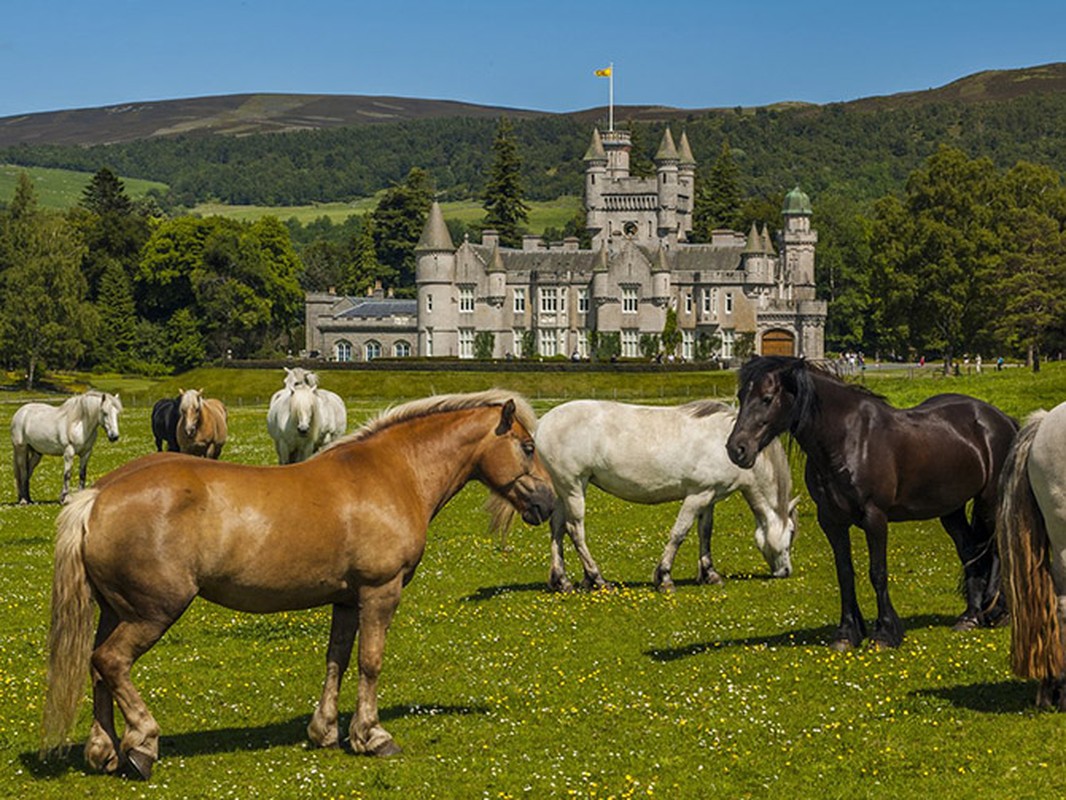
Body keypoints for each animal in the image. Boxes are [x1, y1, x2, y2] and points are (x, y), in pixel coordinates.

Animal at [39, 392, 558, 780]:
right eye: (528, 447)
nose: (549, 502)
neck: (393, 472)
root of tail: (97, 495)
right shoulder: (380, 591)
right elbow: (370, 662)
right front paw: (372, 735)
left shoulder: (347, 600)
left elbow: (337, 659)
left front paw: (325, 730)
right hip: (153, 612)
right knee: (111, 661)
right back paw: (142, 744)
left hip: (115, 610)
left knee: (97, 668)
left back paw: (104, 750)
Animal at [537, 401, 797, 597]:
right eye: (792, 533)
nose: (786, 571)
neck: (728, 443)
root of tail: (542, 423)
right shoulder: (697, 495)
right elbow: (679, 534)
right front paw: (664, 578)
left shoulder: (709, 497)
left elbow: (705, 533)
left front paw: (710, 574)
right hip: (574, 487)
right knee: (575, 530)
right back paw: (598, 578)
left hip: (563, 490)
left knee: (557, 528)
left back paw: (562, 581)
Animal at [724, 356, 1014, 652]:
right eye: (742, 396)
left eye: (767, 398)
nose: (737, 449)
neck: (848, 438)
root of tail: (1000, 419)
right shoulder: (831, 521)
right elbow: (844, 573)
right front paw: (846, 633)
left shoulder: (875, 518)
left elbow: (878, 572)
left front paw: (884, 633)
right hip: (951, 510)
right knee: (970, 551)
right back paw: (970, 617)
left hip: (989, 503)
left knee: (997, 550)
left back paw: (997, 612)